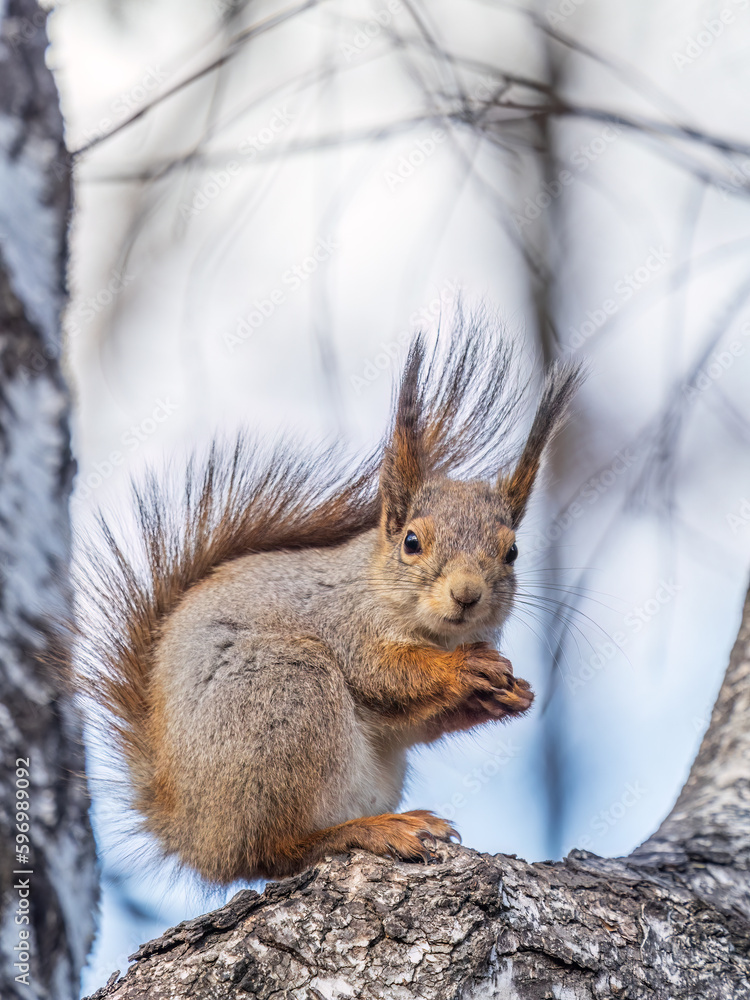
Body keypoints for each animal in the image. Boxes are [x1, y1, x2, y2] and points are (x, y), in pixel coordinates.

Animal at [79, 318, 581, 885]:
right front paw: (466, 669)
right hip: (286, 693)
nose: (467, 594)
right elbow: (383, 675)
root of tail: (195, 835)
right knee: (276, 849)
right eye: (412, 541)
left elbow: (421, 723)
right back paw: (369, 830)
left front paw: (512, 695)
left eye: (512, 552)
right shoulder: (343, 622)